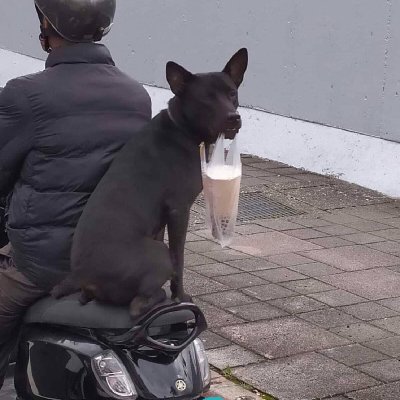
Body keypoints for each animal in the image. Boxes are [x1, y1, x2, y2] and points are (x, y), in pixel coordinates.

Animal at [51, 48, 248, 318]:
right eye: (206, 99)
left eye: (232, 94)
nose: (233, 118)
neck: (183, 129)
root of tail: (84, 278)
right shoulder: (178, 210)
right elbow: (179, 258)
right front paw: (180, 296)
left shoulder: (162, 220)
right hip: (156, 253)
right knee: (137, 305)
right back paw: (161, 298)